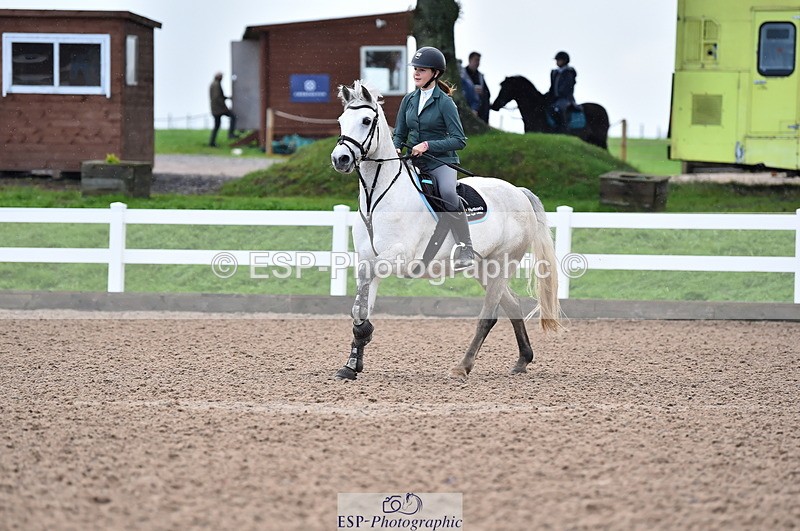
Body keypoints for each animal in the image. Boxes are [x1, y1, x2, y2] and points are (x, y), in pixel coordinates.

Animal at [329, 80, 562, 382]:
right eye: (341, 120)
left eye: (366, 120)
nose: (341, 159)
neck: (376, 199)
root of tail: (518, 192)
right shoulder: (369, 259)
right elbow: (361, 305)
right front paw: (351, 364)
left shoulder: (397, 257)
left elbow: (363, 299)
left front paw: (362, 338)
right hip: (483, 267)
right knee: (511, 305)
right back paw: (522, 360)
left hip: (502, 263)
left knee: (489, 316)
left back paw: (462, 366)